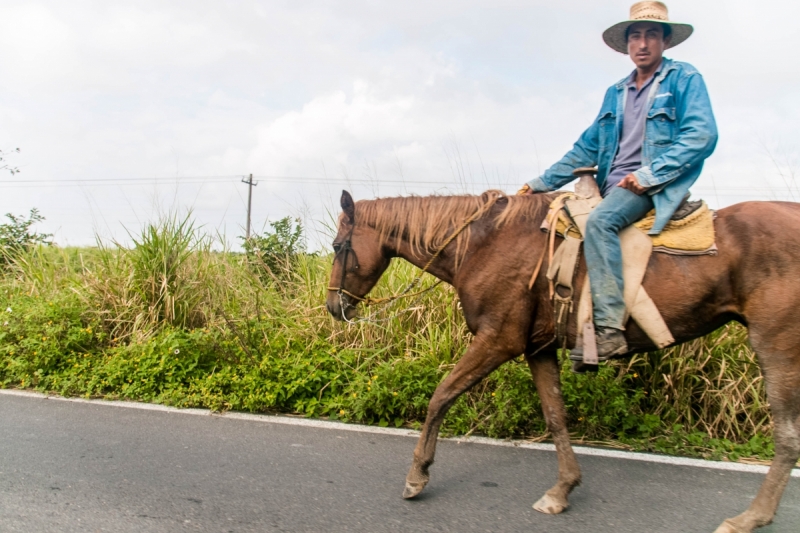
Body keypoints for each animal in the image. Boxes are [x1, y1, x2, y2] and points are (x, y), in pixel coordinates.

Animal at [324, 189, 800, 528]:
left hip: (776, 343)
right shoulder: (537, 347)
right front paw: (562, 490)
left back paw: (751, 517)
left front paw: (418, 475)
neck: (482, 244)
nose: (333, 306)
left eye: (337, 245)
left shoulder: (498, 341)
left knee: (787, 435)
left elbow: (441, 396)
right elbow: (555, 416)